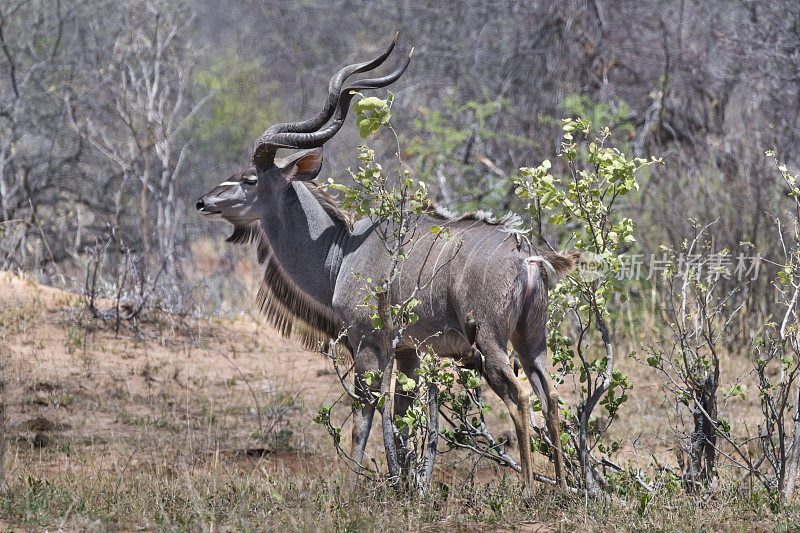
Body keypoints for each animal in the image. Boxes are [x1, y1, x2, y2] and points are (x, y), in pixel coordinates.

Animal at [196, 35, 580, 488]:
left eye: (250, 179)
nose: (203, 202)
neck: (342, 248)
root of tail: (527, 256)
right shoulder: (409, 351)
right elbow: (401, 415)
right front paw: (406, 485)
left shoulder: (368, 342)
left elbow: (364, 413)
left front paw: (351, 488)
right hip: (531, 341)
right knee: (550, 398)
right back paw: (565, 489)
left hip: (490, 342)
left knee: (519, 396)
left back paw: (528, 489)